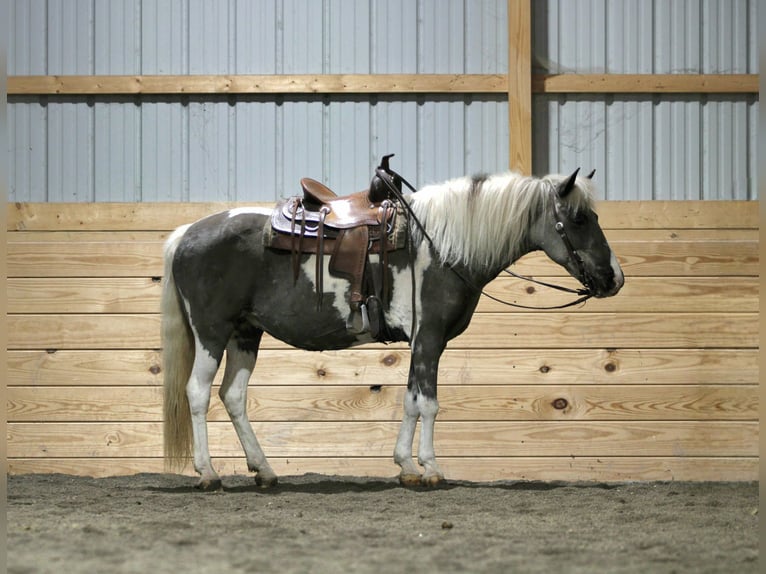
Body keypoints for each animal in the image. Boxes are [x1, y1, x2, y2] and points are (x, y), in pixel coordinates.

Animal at [161, 166, 624, 490]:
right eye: (579, 219)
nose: (614, 278)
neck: (441, 244)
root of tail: (186, 233)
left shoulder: (423, 342)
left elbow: (411, 401)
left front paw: (406, 467)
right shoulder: (429, 336)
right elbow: (429, 404)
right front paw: (431, 469)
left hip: (245, 333)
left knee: (233, 396)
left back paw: (265, 470)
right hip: (212, 331)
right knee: (198, 392)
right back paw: (208, 474)